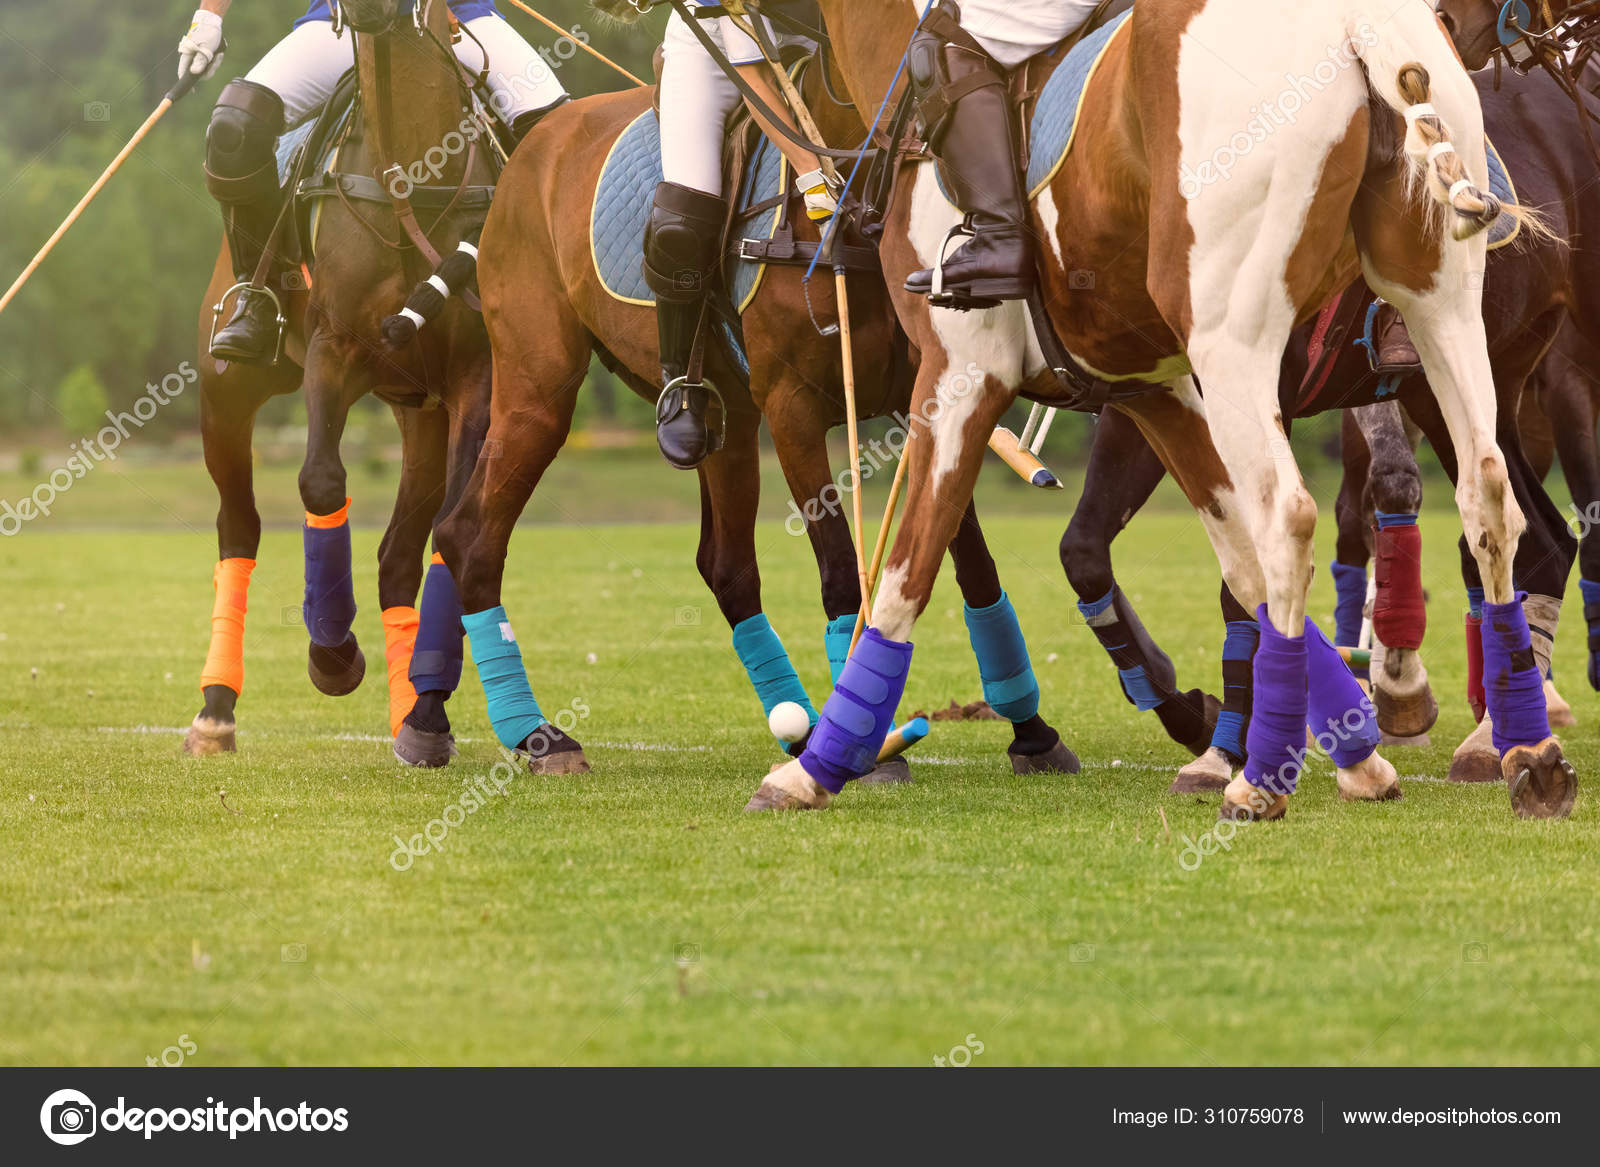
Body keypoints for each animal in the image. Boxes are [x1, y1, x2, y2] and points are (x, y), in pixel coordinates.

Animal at [182, 0, 492, 758]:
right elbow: (321, 481)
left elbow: (454, 527)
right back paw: (215, 709)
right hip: (226, 393)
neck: (414, 171)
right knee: (239, 526)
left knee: (399, 554)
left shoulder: (474, 378)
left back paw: (410, 707)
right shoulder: (335, 348)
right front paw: (332, 655)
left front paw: (426, 715)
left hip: (421, 411)